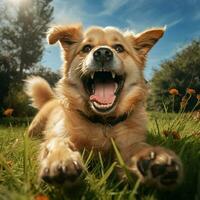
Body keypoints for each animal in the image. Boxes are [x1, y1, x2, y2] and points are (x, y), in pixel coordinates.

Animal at [25, 23, 183, 189]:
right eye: (86, 48)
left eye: (119, 48)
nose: (102, 53)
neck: (103, 123)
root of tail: (51, 99)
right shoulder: (60, 134)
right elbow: (56, 142)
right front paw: (61, 159)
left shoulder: (127, 144)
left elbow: (137, 147)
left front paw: (154, 157)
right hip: (35, 127)